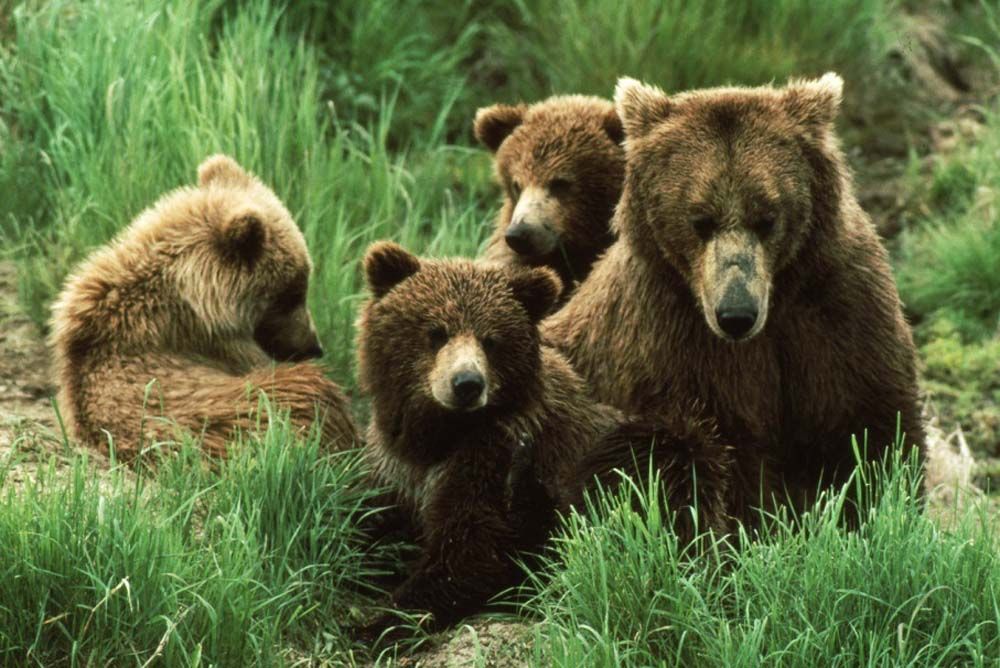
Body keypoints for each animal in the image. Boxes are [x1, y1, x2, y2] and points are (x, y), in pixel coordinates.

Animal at [544, 74, 925, 517]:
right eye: (699, 220)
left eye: (768, 217)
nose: (737, 314)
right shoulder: (675, 342)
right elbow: (722, 457)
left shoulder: (835, 310)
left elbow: (870, 430)